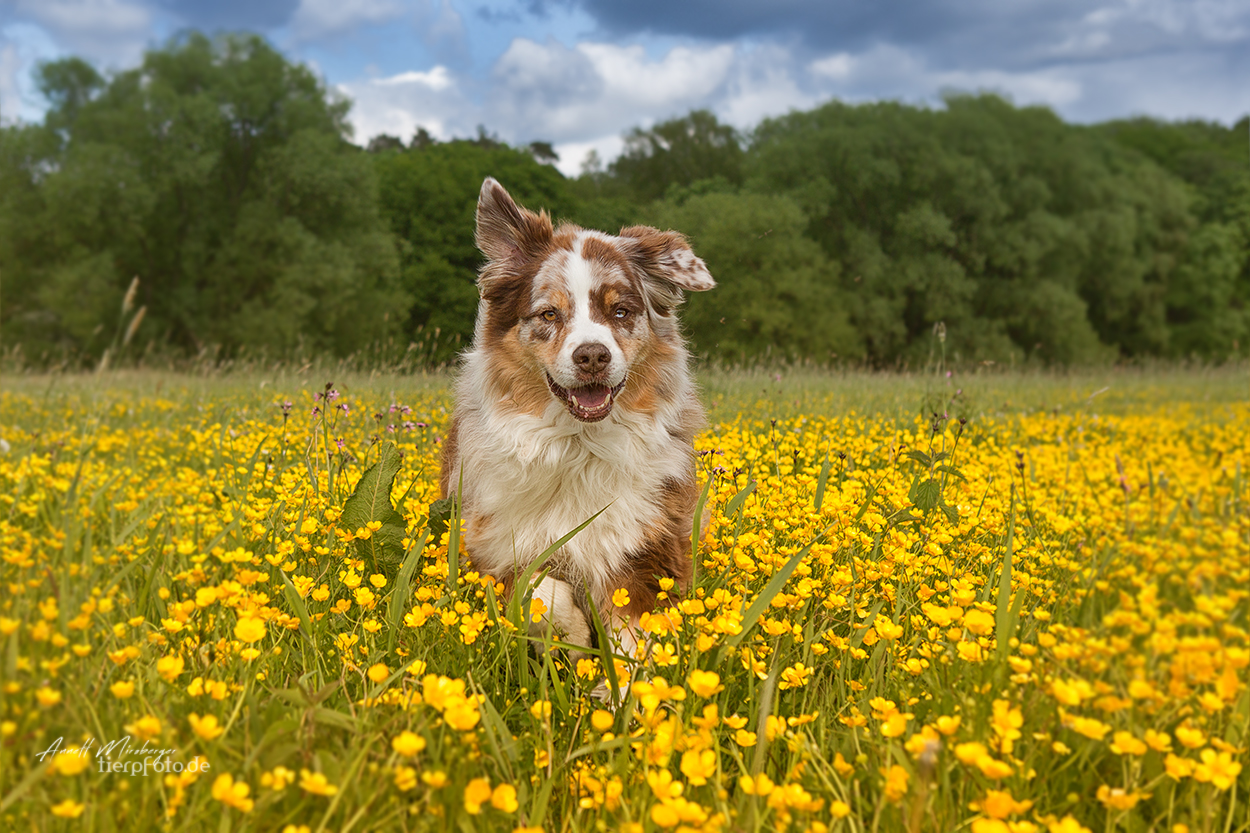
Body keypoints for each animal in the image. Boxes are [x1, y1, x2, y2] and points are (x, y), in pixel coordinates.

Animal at [437, 178, 715, 660]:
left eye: (621, 311)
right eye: (549, 314)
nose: (592, 356)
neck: (578, 444)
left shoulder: (649, 550)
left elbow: (637, 646)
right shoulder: (488, 547)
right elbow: (538, 589)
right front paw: (574, 638)